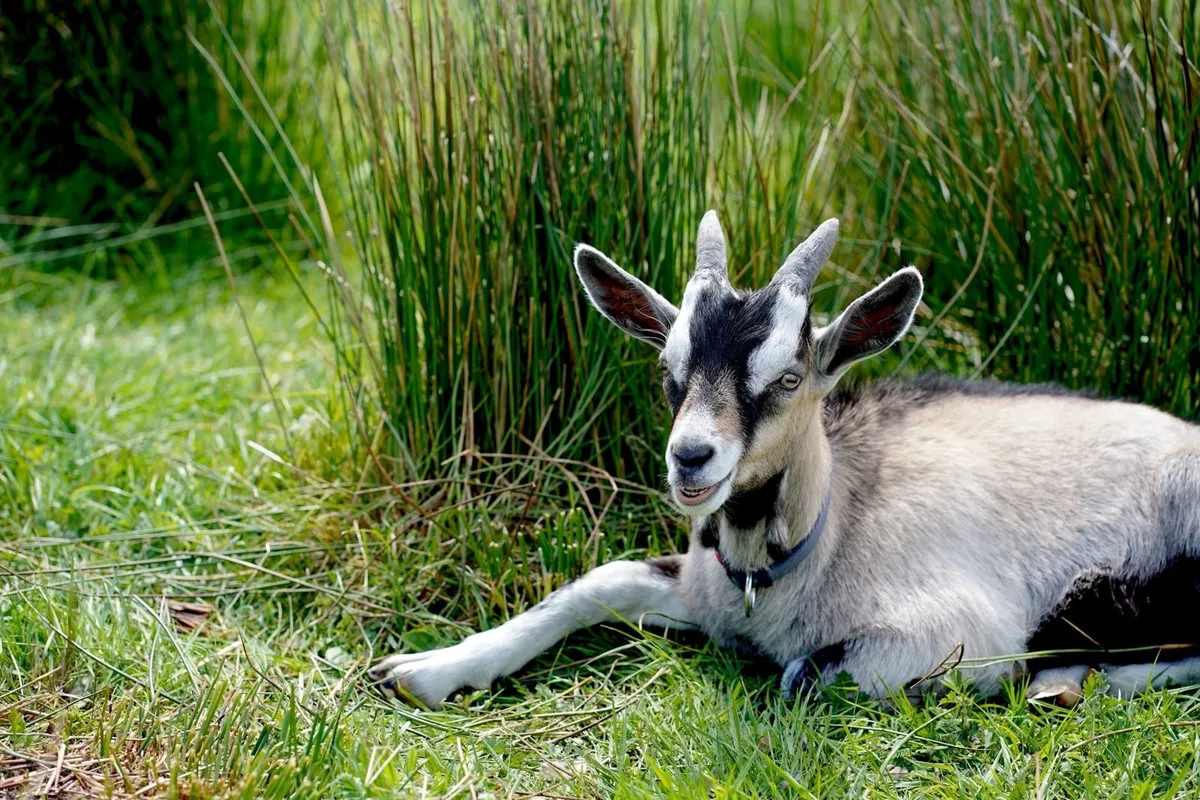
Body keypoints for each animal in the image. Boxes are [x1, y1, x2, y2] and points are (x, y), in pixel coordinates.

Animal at [370, 212, 1200, 709]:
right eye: (668, 370)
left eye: (790, 378)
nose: (692, 458)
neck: (820, 542)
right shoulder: (699, 584)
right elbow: (595, 583)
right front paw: (426, 669)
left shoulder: (959, 634)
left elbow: (803, 674)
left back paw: (1068, 680)